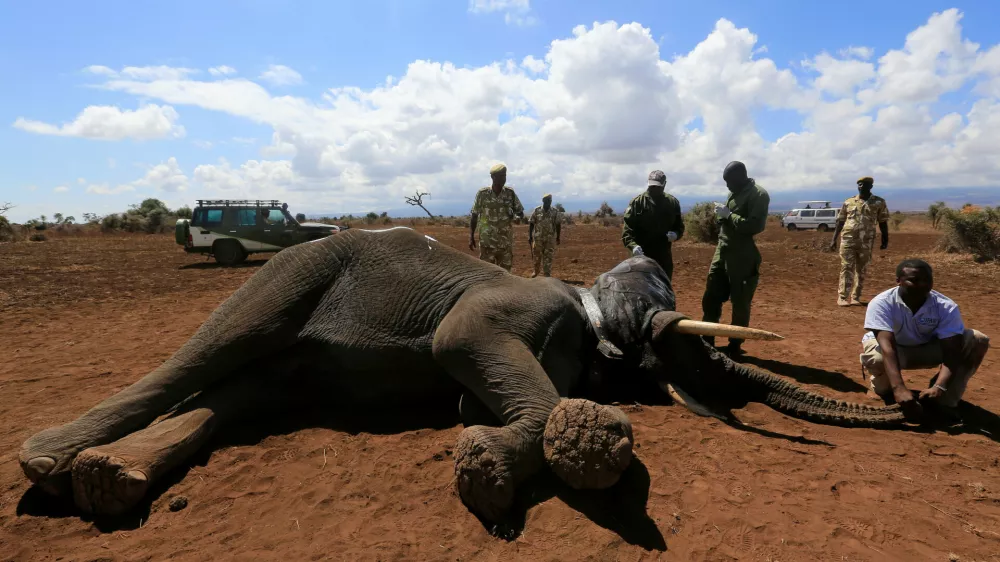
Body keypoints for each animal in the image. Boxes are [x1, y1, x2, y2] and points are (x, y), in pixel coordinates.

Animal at [18, 226, 906, 523]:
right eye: (691, 345)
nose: (909, 414)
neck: (589, 303)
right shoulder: (517, 306)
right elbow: (460, 340)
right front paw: (536, 458)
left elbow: (465, 390)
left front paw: (485, 446)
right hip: (292, 272)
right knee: (207, 354)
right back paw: (48, 460)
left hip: (294, 365)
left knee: (235, 393)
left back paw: (109, 480)